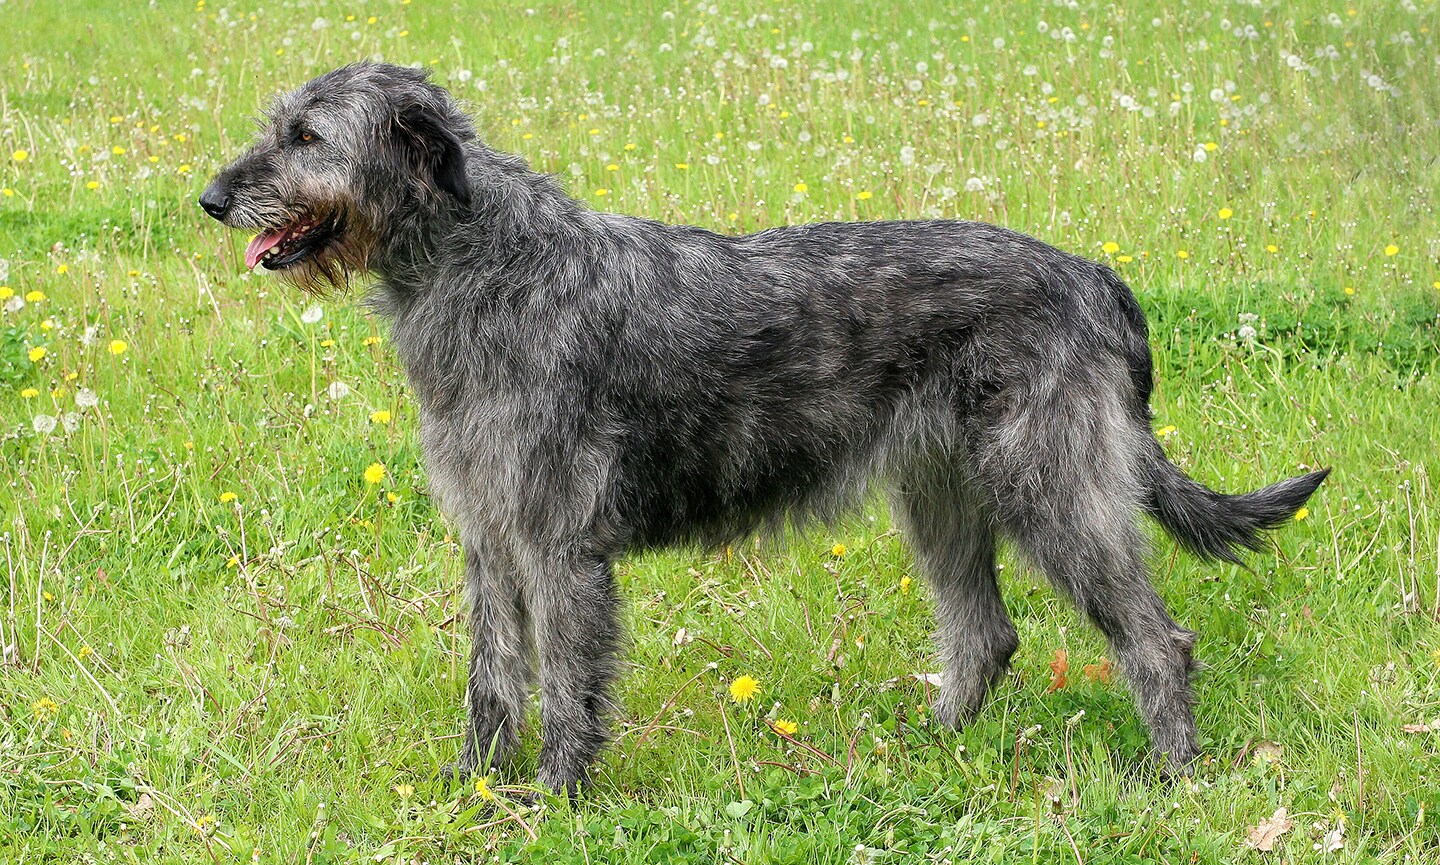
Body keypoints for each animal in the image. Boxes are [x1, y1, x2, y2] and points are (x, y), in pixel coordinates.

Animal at [200, 59, 1324, 788]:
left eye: (308, 138)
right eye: (279, 125)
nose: (210, 197)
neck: (482, 262)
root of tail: (1094, 277)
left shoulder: (558, 541)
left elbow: (564, 680)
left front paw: (554, 796)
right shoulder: (491, 535)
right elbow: (493, 677)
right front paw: (473, 787)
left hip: (1053, 490)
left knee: (1156, 640)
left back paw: (1171, 777)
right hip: (941, 494)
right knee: (986, 632)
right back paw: (930, 746)